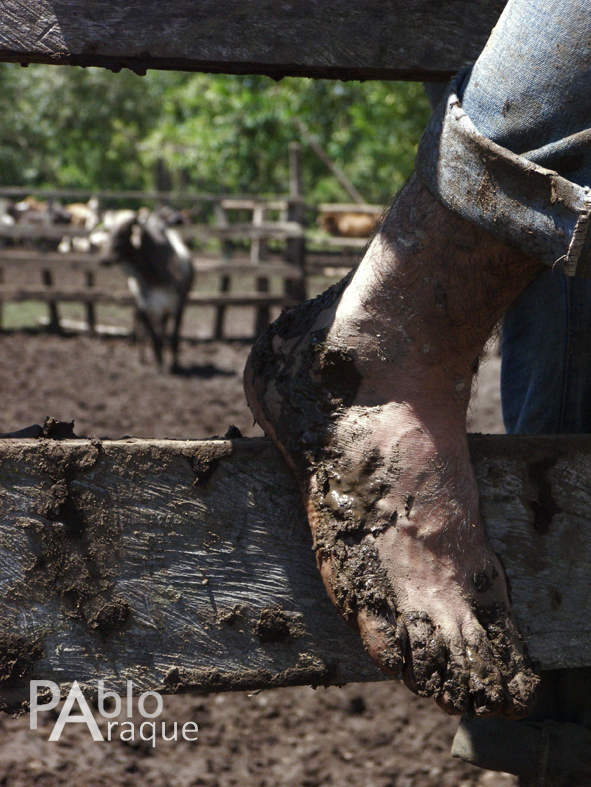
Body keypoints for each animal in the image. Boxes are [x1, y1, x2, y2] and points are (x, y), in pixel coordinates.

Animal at [99, 211, 194, 374]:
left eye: (124, 232)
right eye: (109, 230)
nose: (104, 258)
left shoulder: (178, 305)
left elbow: (174, 338)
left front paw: (174, 365)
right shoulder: (145, 306)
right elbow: (153, 336)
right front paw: (159, 364)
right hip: (141, 307)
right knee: (141, 329)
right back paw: (142, 357)